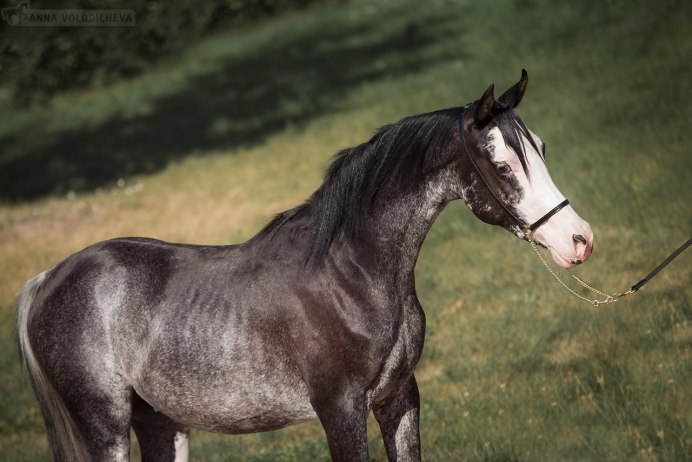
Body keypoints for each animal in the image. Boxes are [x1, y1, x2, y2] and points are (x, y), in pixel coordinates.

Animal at [16, 69, 596, 462]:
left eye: (541, 147)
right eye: (503, 164)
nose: (580, 240)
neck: (351, 276)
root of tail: (46, 281)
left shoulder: (399, 399)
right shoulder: (339, 410)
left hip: (161, 423)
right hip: (106, 426)